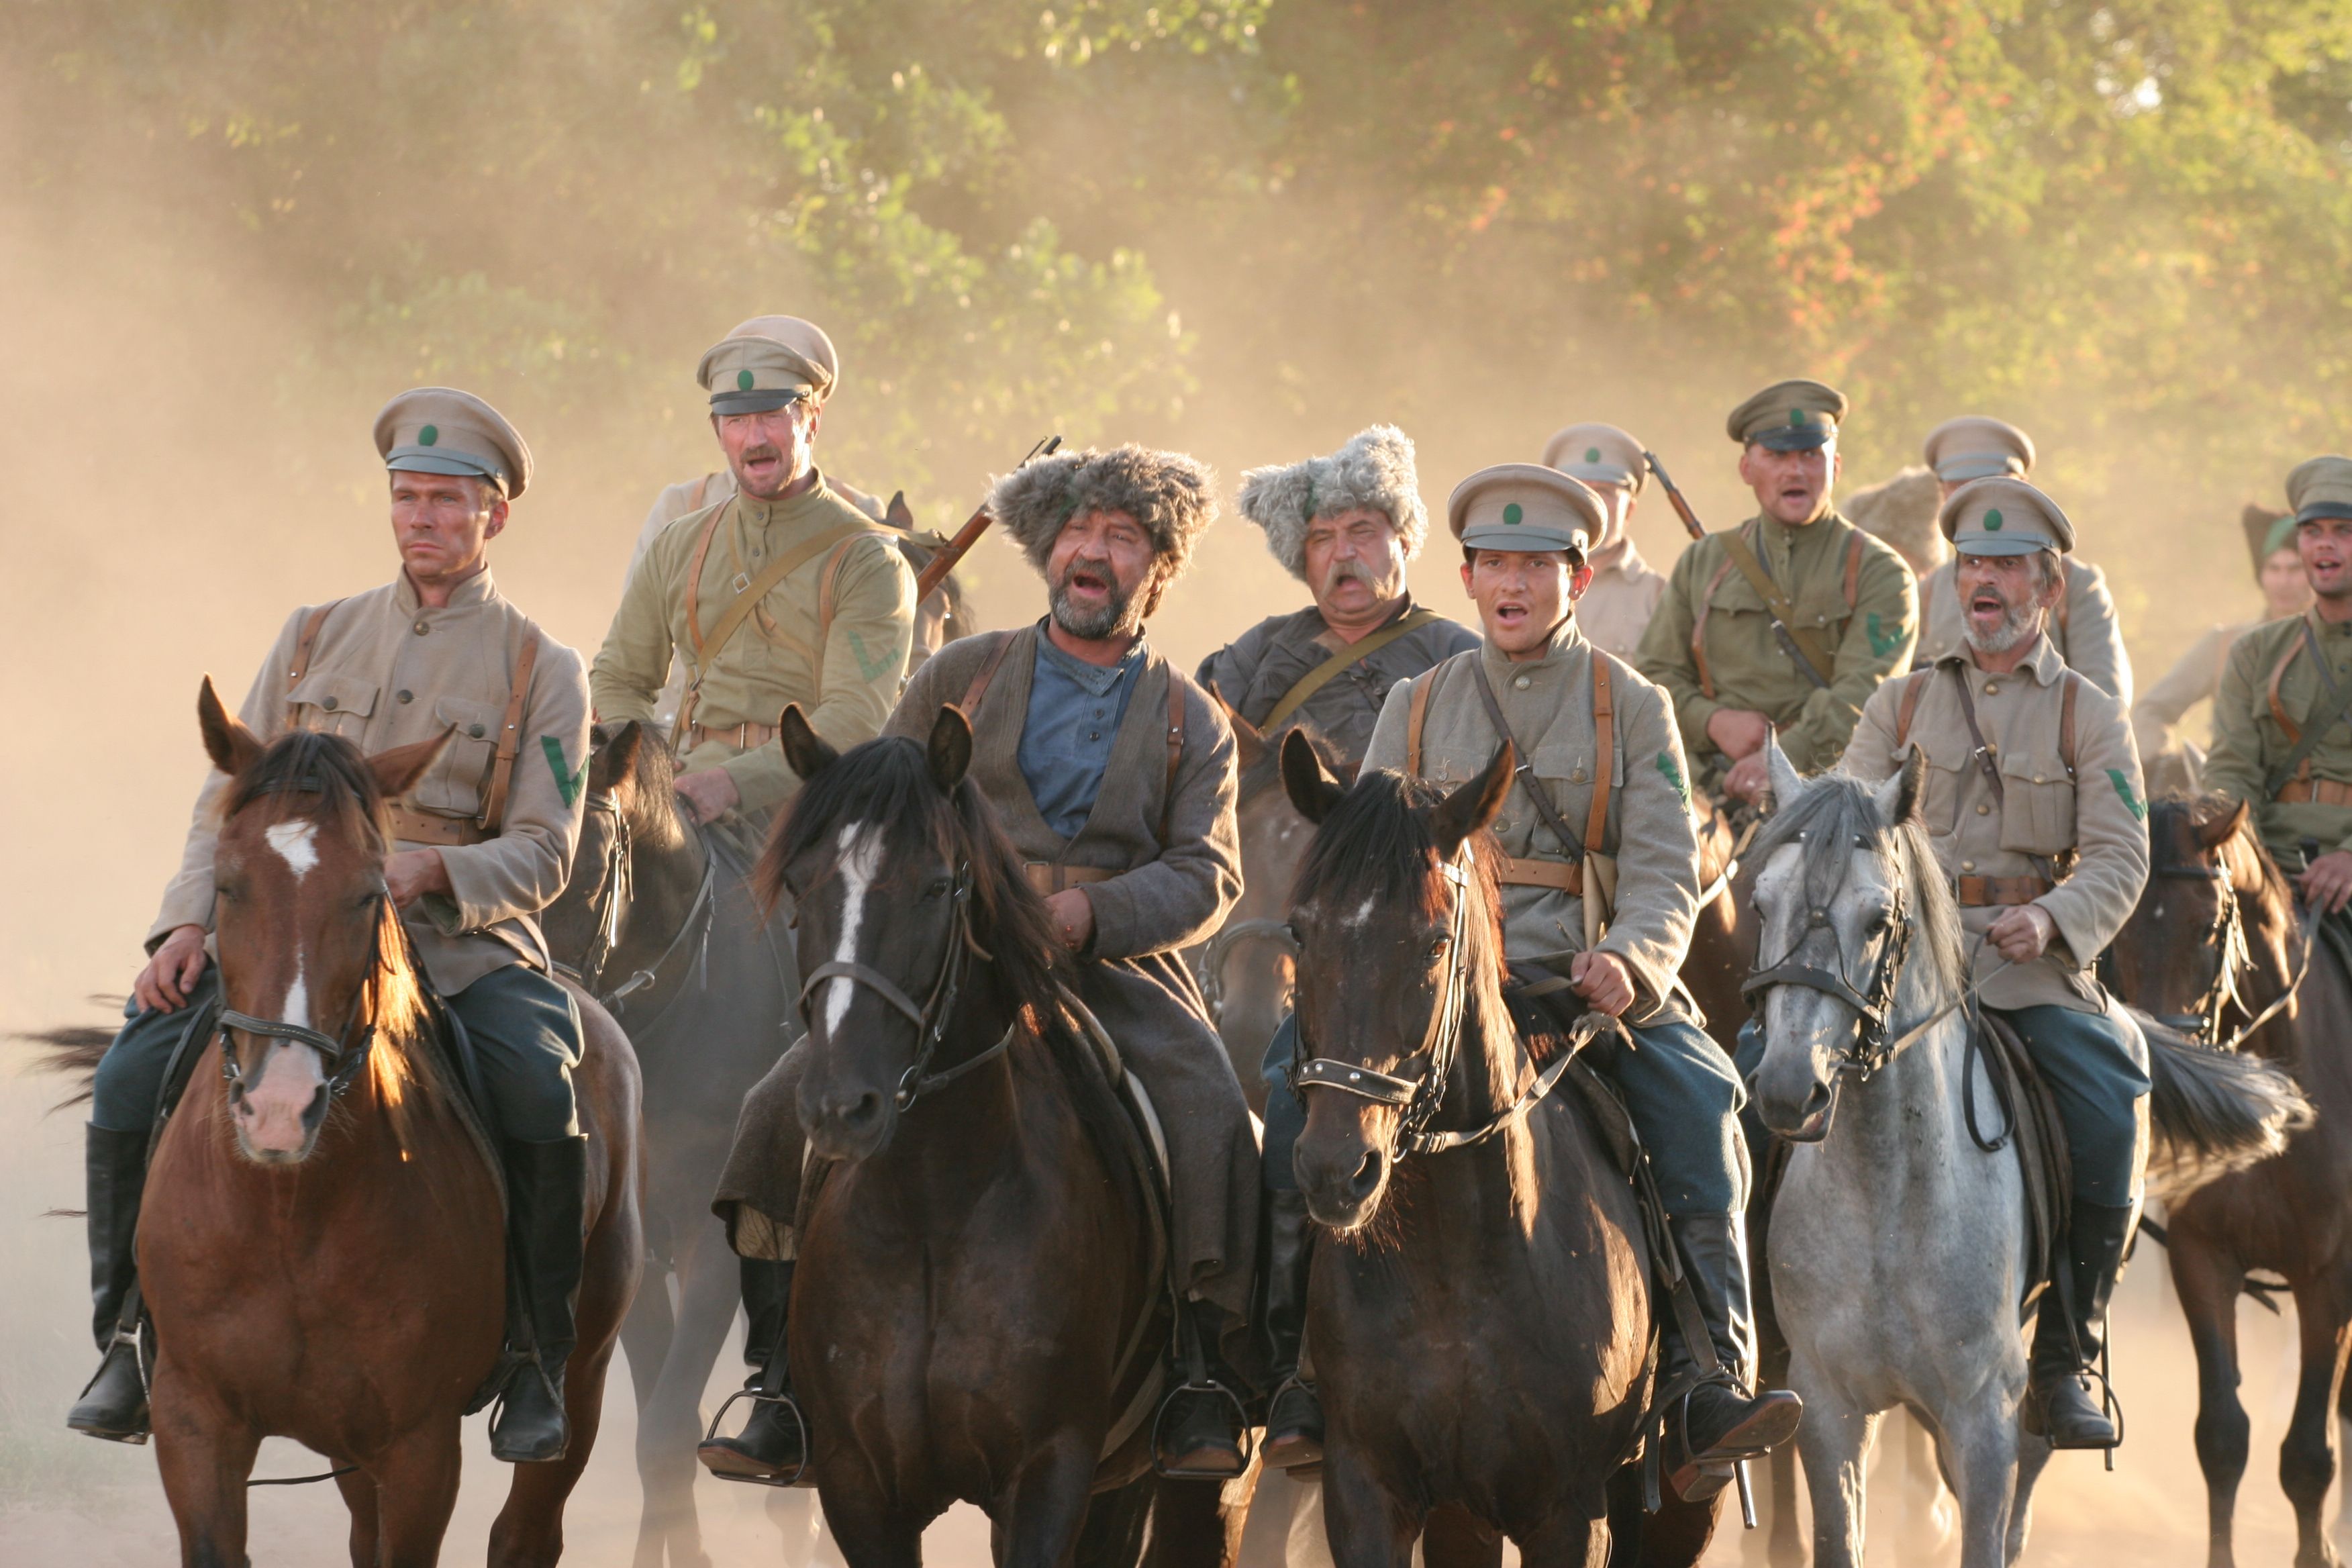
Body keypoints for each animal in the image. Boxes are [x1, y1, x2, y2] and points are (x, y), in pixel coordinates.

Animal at [125, 686, 644, 1568]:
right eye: (227, 884)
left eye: (370, 892)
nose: (280, 1108)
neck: (290, 1210)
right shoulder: (195, 1422)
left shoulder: (419, 1449)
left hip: (583, 1373)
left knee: (527, 1528)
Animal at [752, 709, 1232, 1568]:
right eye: (802, 887)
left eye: (938, 885)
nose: (841, 1105)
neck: (932, 1211)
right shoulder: (856, 1483)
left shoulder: (1049, 1473)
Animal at [1279, 738, 1721, 1568]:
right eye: (1300, 931)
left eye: (1434, 942)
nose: (1334, 1169)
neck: (1455, 1263)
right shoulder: (1366, 1492)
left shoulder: (1569, 1512)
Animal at [2098, 799, 2352, 1568]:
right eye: (2119, 930)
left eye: (2211, 927)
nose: (2162, 1064)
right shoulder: (2202, 1260)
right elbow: (2221, 1434)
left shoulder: (2328, 1279)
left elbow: (2308, 1453)